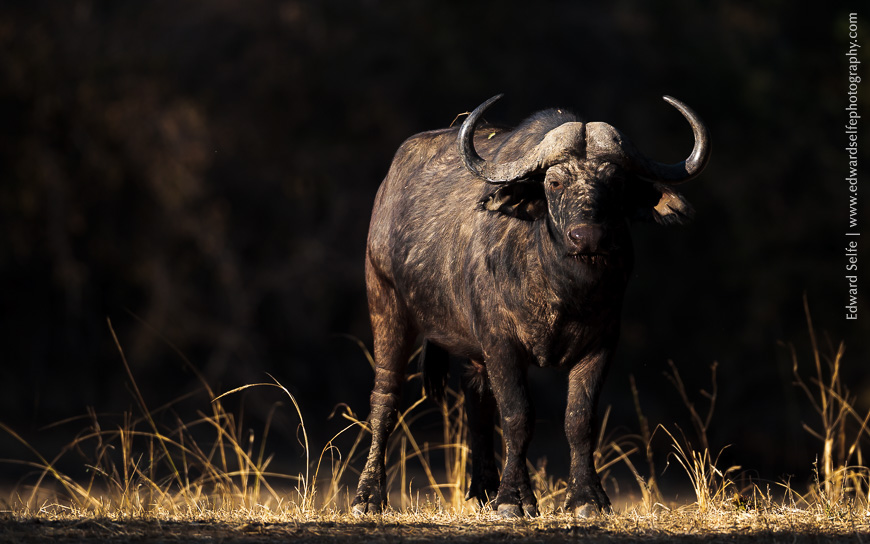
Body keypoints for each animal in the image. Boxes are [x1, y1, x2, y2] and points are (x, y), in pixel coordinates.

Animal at [351, 94, 710, 518]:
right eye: (554, 183)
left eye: (616, 183)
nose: (587, 237)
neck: (563, 291)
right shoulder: (501, 343)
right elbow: (518, 415)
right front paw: (515, 499)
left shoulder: (602, 343)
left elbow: (579, 419)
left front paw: (587, 497)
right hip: (387, 306)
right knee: (385, 399)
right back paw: (369, 496)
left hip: (472, 352)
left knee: (477, 402)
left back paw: (484, 489)